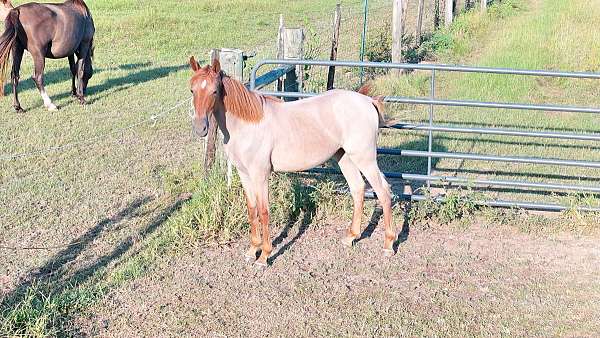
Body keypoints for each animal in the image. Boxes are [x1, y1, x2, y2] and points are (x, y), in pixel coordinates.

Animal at [188, 56, 394, 266]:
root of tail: (367, 101)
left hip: (364, 158)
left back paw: (388, 245)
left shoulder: (260, 174)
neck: (248, 124)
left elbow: (264, 211)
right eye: (192, 90)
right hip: (344, 157)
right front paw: (252, 250)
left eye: (214, 91)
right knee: (358, 189)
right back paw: (350, 237)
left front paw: (264, 256)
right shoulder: (244, 173)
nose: (200, 128)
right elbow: (252, 209)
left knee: (383, 192)